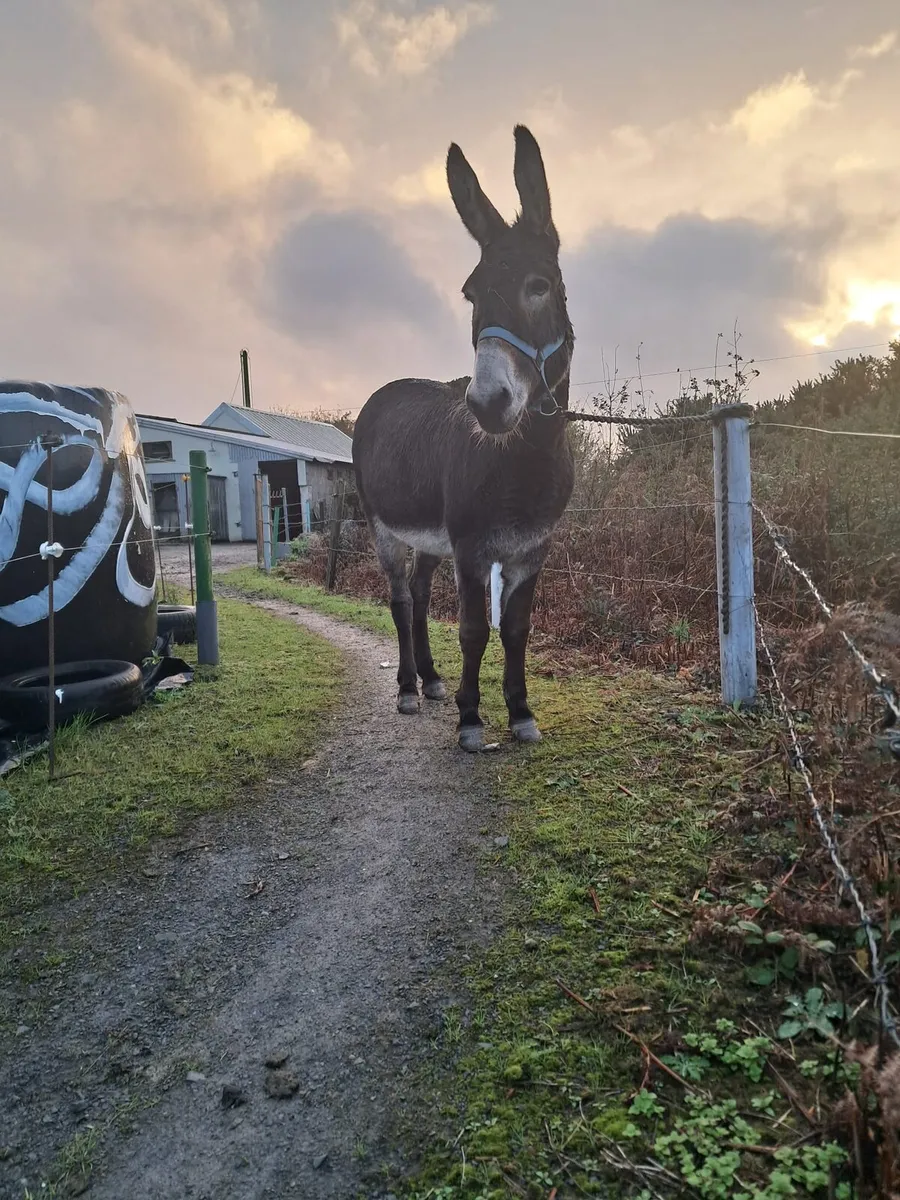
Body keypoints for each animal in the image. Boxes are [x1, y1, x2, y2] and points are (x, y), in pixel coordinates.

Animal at [352, 125, 575, 752]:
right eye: (471, 295)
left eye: (538, 286)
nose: (486, 405)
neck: (525, 458)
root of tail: (387, 388)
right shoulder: (473, 547)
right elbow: (475, 629)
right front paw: (471, 719)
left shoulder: (532, 548)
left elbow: (517, 629)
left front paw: (520, 712)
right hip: (385, 525)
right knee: (401, 599)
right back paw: (407, 688)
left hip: (432, 537)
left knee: (422, 596)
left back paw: (430, 681)